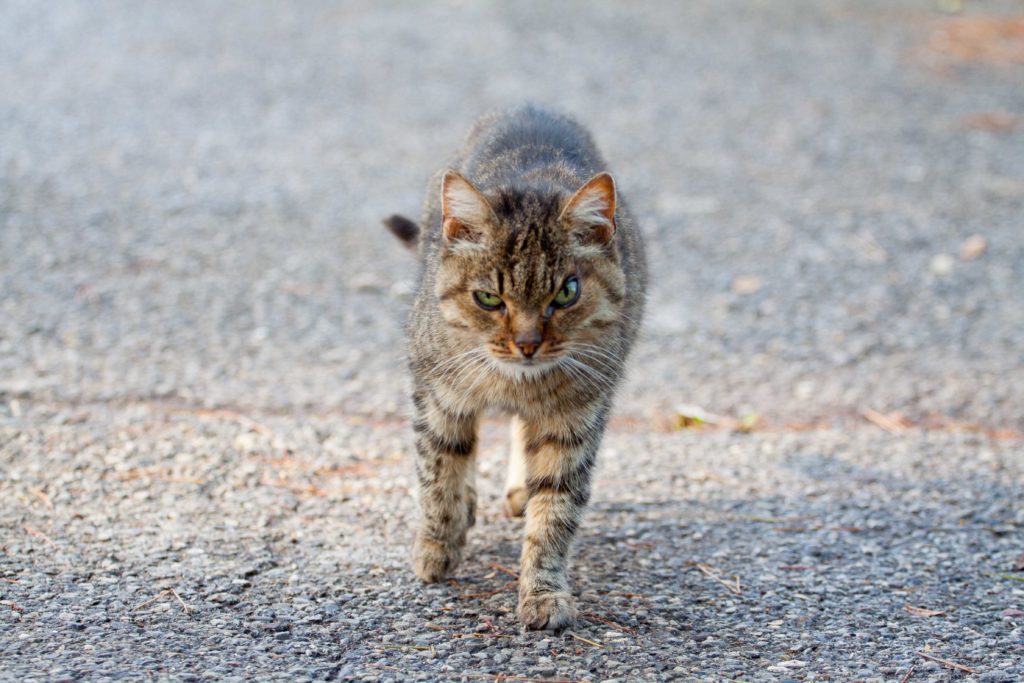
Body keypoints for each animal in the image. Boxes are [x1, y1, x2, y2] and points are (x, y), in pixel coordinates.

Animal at [387, 102, 643, 630]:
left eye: (566, 293)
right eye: (489, 298)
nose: (526, 344)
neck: (517, 382)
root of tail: (530, 105)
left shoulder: (576, 417)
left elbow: (555, 512)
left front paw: (543, 592)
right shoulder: (437, 395)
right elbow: (438, 474)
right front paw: (436, 547)